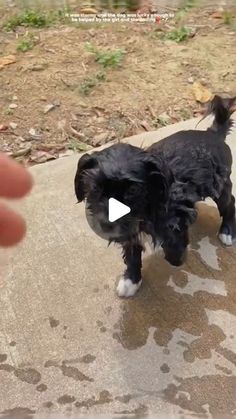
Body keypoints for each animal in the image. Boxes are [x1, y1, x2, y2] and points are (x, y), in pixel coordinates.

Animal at [74, 95, 236, 298]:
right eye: (95, 188)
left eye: (133, 190)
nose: (105, 224)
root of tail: (213, 133)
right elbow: (132, 254)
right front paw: (131, 280)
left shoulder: (175, 216)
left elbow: (174, 239)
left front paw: (177, 256)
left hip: (220, 187)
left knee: (230, 203)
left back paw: (227, 231)